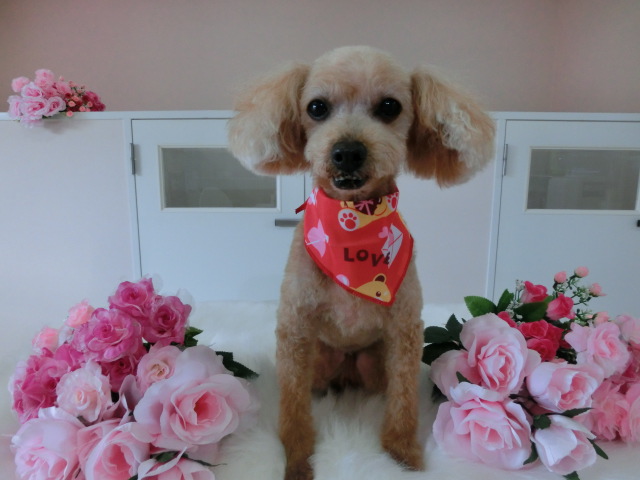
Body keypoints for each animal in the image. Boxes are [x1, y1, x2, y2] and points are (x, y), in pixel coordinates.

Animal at [228, 46, 495, 480]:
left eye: (389, 106)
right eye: (316, 107)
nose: (348, 151)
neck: (355, 225)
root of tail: (347, 372)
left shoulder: (404, 331)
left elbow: (404, 400)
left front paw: (403, 456)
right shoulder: (295, 330)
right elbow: (294, 411)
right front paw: (297, 462)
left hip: (373, 365)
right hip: (318, 361)